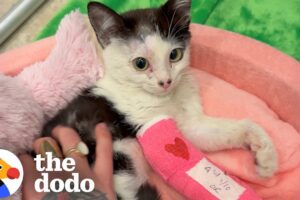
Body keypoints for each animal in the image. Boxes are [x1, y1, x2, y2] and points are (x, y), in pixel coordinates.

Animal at [41, 0, 276, 199]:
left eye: (175, 55)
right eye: (140, 63)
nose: (166, 81)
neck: (166, 99)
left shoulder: (190, 123)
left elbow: (208, 132)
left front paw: (265, 153)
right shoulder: (144, 123)